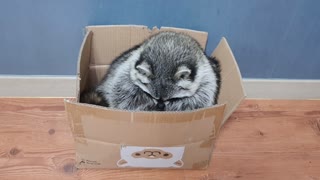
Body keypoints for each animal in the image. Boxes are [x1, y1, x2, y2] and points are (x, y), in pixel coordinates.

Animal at [80, 31, 220, 111]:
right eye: (151, 96)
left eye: (171, 98)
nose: (160, 107)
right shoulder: (125, 71)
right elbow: (122, 95)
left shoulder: (207, 78)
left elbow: (197, 101)